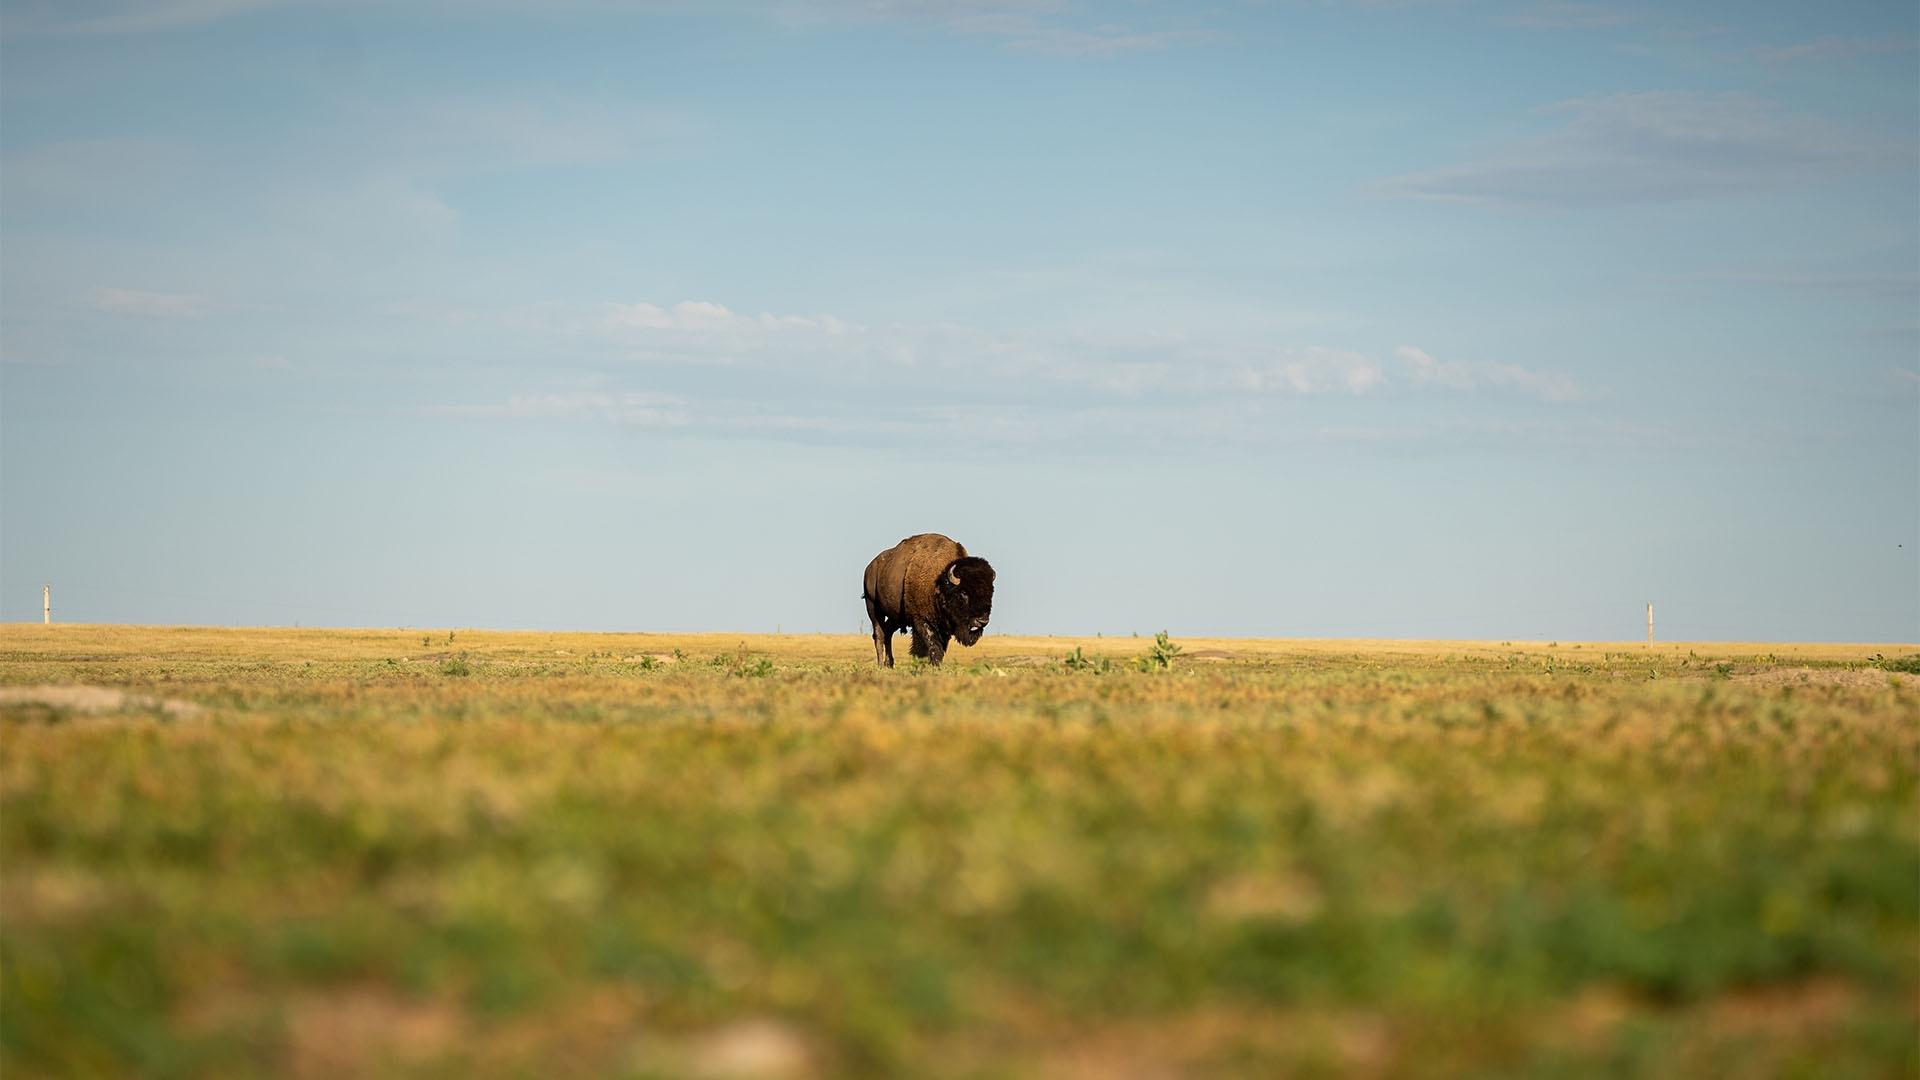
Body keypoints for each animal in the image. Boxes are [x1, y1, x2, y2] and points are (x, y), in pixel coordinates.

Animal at [864, 530, 998, 664]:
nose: (982, 620)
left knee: (888, 632)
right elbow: (932, 648)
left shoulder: (944, 627)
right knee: (879, 634)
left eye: (991, 592)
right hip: (873, 607)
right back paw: (881, 665)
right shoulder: (922, 621)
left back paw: (889, 664)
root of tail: (870, 568)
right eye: (963, 593)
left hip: (896, 616)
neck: (939, 582)